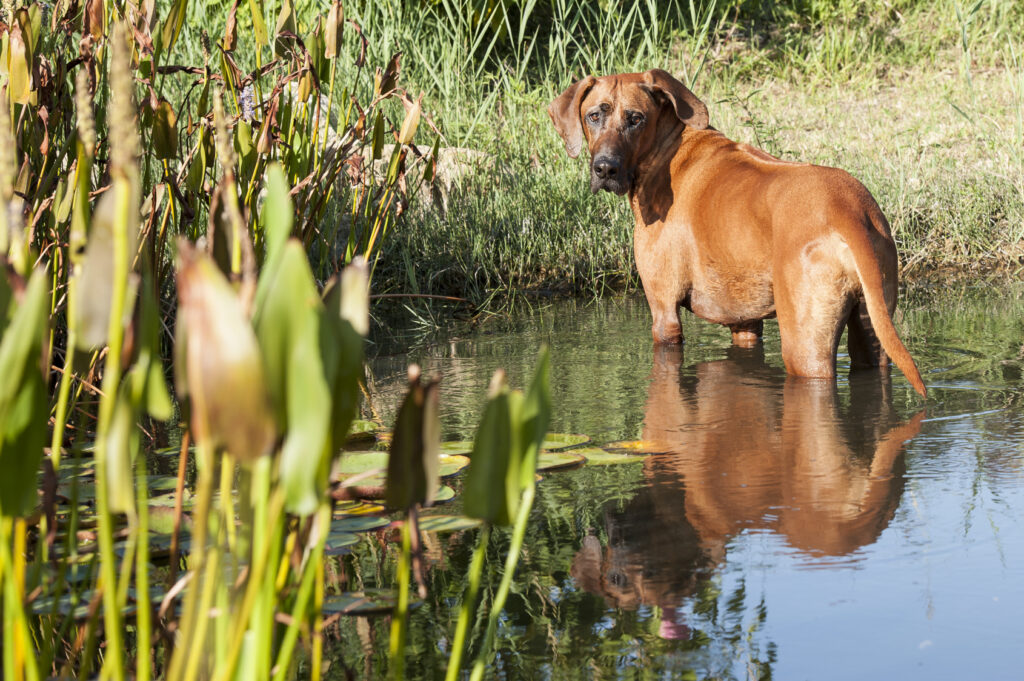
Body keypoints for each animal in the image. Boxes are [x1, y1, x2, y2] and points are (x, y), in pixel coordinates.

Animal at [552, 69, 929, 395]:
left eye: (636, 118)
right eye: (593, 116)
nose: (605, 168)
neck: (668, 152)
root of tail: (848, 210)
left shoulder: (664, 314)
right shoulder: (745, 321)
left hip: (805, 346)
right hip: (873, 323)